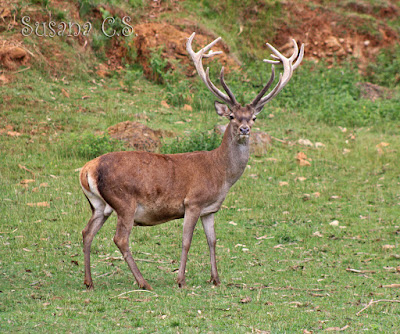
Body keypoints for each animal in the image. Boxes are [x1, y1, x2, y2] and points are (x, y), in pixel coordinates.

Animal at [79, 32, 304, 290]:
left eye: (253, 117)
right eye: (232, 116)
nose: (245, 129)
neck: (220, 173)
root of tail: (87, 170)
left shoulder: (210, 209)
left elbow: (212, 240)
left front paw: (216, 279)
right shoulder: (192, 202)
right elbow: (186, 241)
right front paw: (181, 279)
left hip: (99, 205)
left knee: (87, 232)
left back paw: (89, 282)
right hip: (125, 201)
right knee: (120, 238)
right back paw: (143, 282)